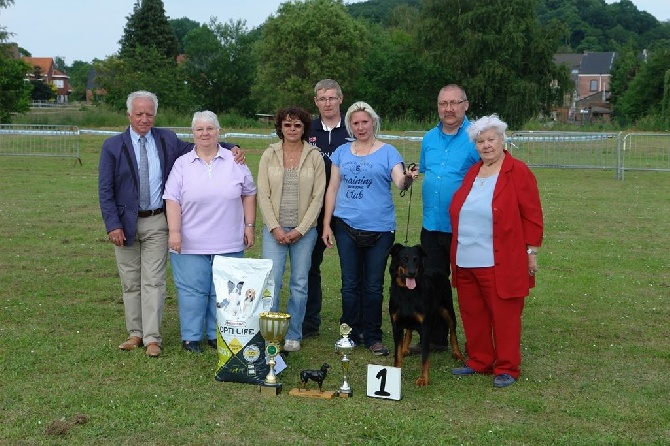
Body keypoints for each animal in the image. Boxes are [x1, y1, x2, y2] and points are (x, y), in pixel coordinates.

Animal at [392, 242, 464, 386]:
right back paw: (404, 349)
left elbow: (424, 357)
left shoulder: (425, 328)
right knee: (409, 330)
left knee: (453, 332)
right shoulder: (396, 326)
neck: (407, 293)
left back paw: (457, 353)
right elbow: (397, 354)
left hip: (447, 308)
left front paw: (423, 379)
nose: (412, 273)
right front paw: (396, 373)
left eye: (416, 259)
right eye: (404, 258)